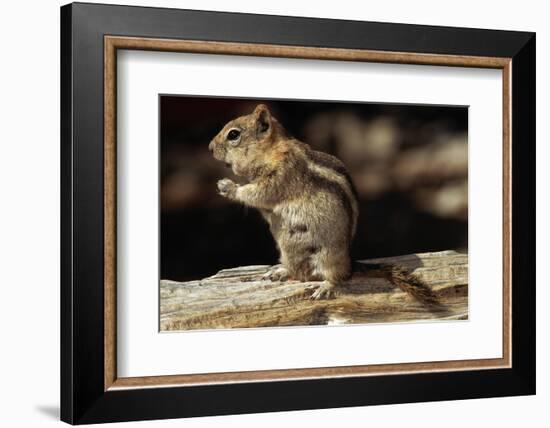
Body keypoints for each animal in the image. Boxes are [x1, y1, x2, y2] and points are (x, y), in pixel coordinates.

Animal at [209, 104, 442, 304]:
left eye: (233, 134)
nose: (210, 148)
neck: (271, 151)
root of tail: (350, 264)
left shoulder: (280, 175)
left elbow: (258, 193)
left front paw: (227, 186)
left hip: (328, 255)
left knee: (336, 276)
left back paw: (325, 287)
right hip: (288, 251)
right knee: (296, 270)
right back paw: (279, 271)